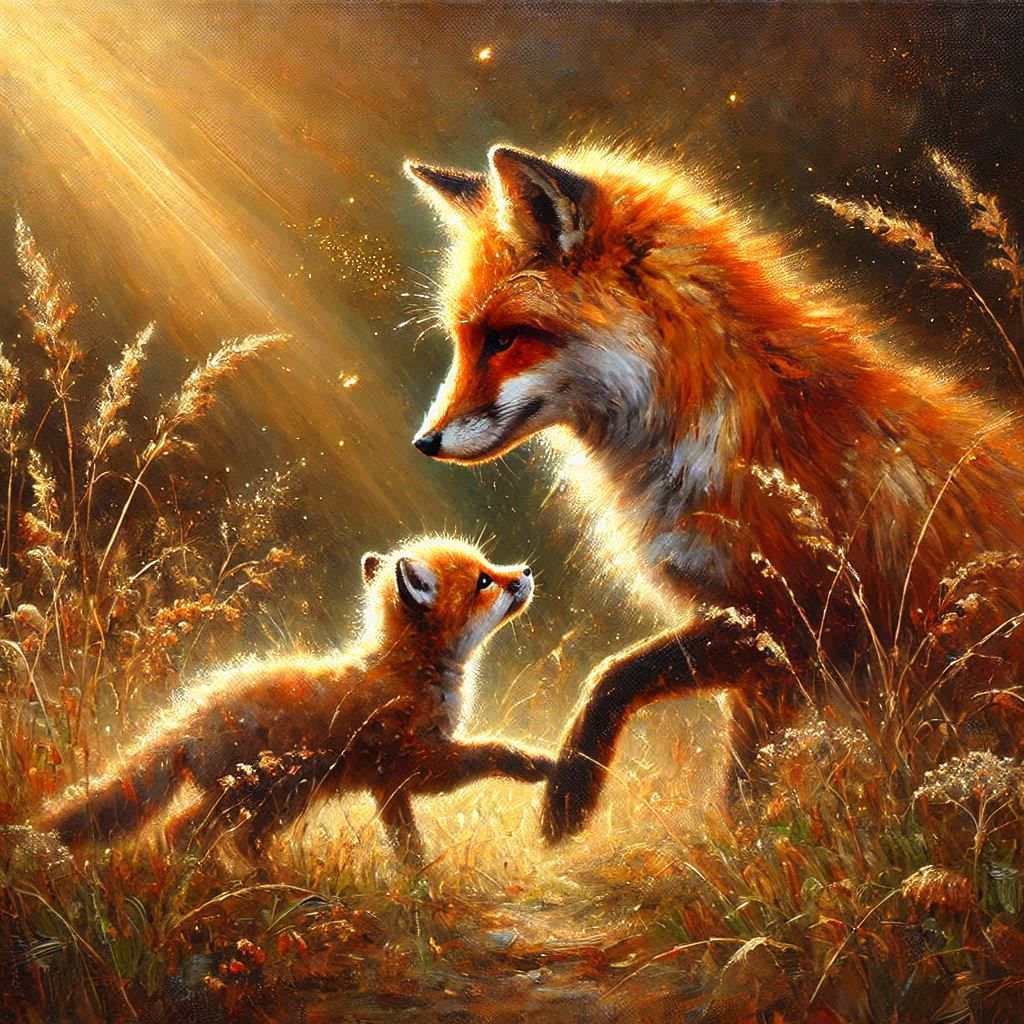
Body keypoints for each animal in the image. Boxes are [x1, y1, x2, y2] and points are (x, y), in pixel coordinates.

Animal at [33, 537, 552, 862]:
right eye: (483, 582)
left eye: (491, 568)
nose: (526, 571)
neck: (408, 671)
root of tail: (189, 715)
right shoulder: (420, 763)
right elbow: (491, 751)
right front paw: (536, 762)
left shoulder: (391, 787)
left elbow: (406, 841)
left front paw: (417, 878)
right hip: (257, 792)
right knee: (181, 830)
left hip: (277, 802)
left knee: (238, 842)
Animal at [403, 144, 1024, 842]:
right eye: (464, 339)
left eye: (503, 338)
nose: (424, 442)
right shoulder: (753, 638)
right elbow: (741, 774)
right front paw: (745, 842)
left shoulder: (796, 623)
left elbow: (614, 676)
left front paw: (570, 798)